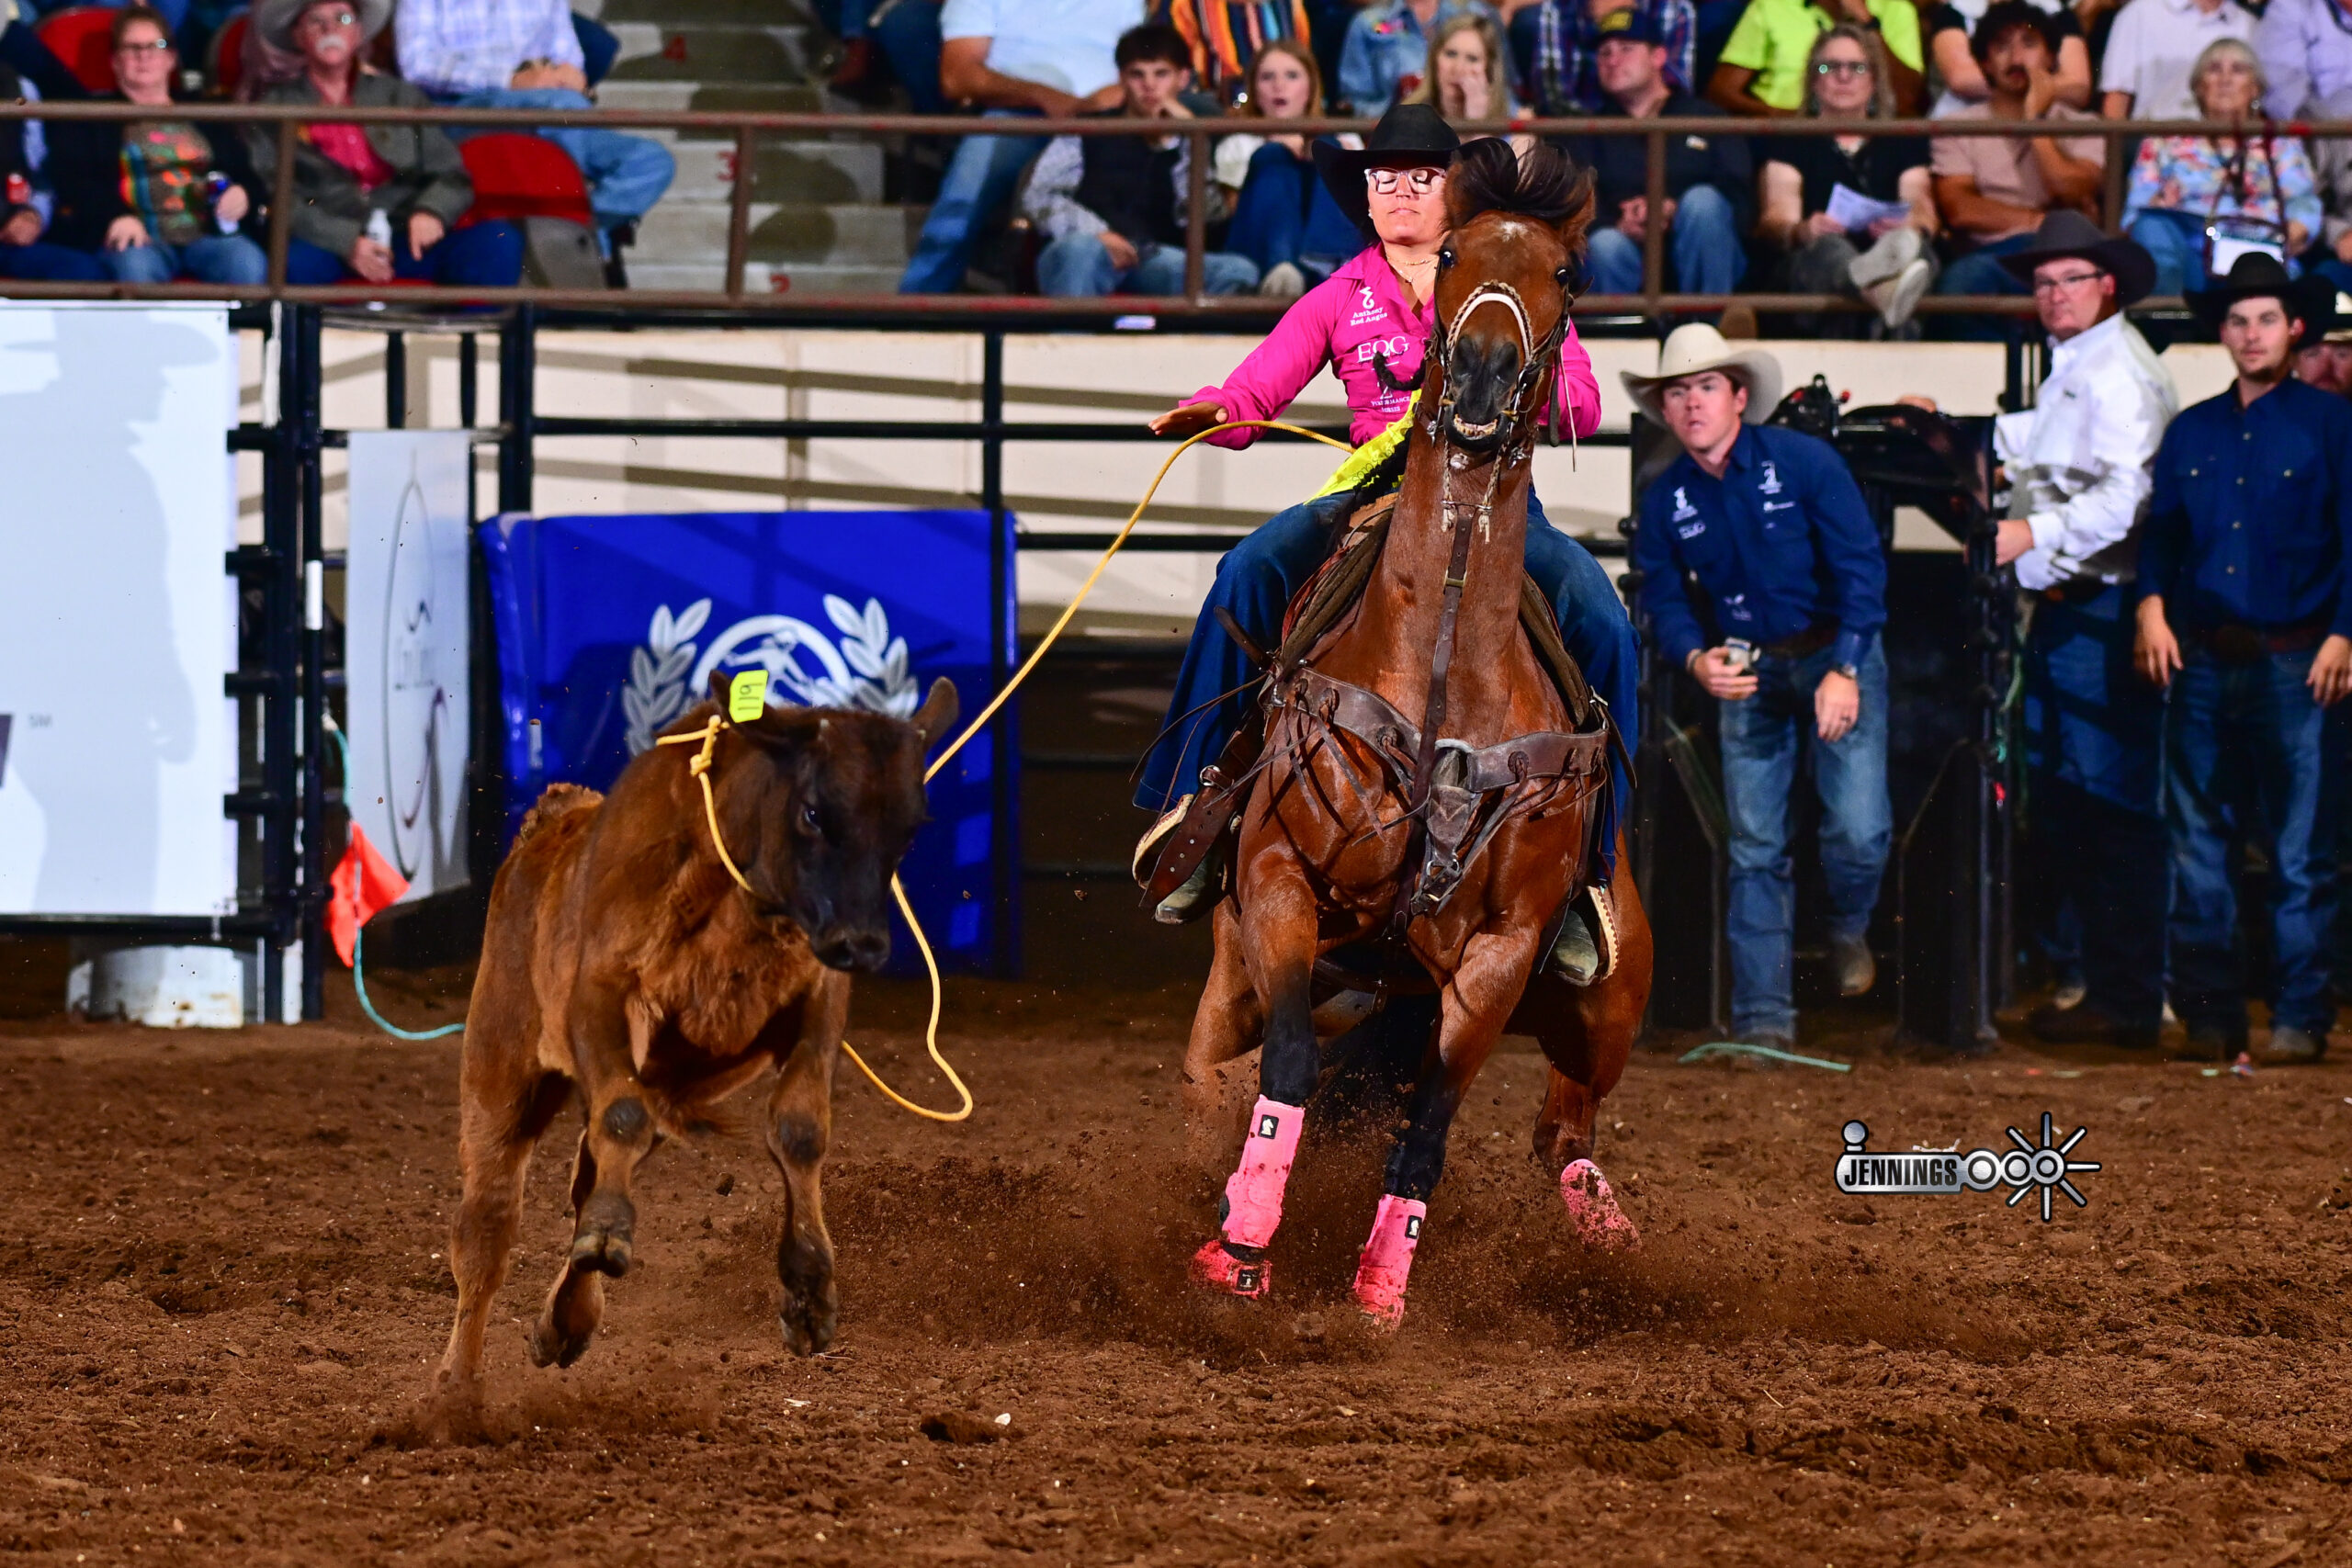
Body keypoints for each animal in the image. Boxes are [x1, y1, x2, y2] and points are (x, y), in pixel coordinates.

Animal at [432, 671, 958, 1401]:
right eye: (813, 813)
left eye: (909, 829)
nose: (863, 943)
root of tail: (549, 825)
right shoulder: (599, 995)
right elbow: (620, 1119)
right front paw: (611, 1233)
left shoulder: (818, 1003)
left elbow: (799, 1127)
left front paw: (809, 1288)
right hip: (501, 1067)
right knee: (488, 1221)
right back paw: (457, 1382)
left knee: (587, 1172)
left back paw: (565, 1319)